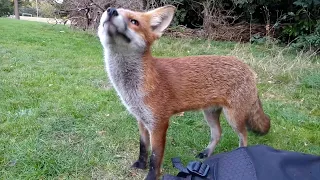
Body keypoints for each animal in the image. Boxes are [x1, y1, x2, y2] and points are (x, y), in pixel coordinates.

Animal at [97, 4, 270, 179]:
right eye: (109, 10)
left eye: (134, 21)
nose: (111, 10)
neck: (133, 89)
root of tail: (249, 70)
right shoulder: (141, 120)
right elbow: (143, 147)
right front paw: (140, 165)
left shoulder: (159, 123)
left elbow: (155, 158)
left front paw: (151, 176)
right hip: (210, 113)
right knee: (218, 133)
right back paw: (206, 153)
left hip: (233, 117)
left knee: (244, 137)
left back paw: (240, 153)